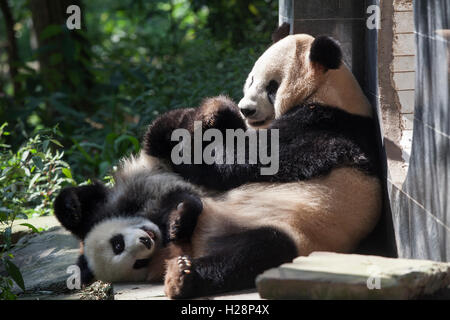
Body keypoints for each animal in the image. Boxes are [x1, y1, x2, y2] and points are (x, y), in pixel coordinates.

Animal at [54, 28, 382, 298]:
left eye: (272, 86)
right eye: (251, 79)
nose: (246, 109)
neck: (331, 93)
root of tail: (199, 241)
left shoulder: (318, 125)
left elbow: (239, 160)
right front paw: (215, 113)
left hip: (299, 231)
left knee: (253, 252)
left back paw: (182, 276)